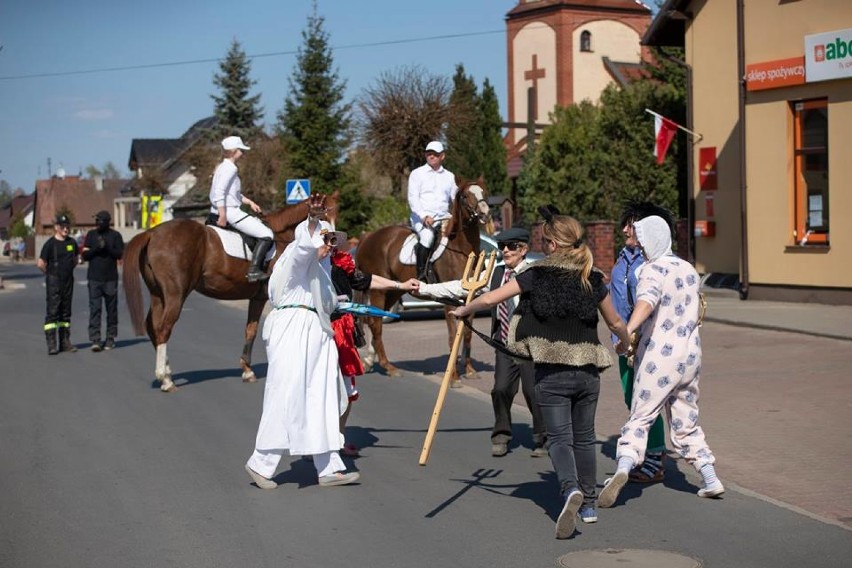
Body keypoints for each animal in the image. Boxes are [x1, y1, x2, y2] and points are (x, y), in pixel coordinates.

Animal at [122, 193, 340, 392]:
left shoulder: (257, 297)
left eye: (336, 211)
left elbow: (250, 329)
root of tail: (152, 233)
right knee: (164, 328)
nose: (333, 241)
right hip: (176, 295)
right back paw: (166, 380)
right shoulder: (263, 297)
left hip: (158, 294)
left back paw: (166, 373)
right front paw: (249, 370)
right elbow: (252, 330)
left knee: (153, 326)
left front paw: (247, 369)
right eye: (322, 212)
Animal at [354, 176, 490, 382]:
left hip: (393, 291)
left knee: (374, 320)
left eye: (484, 192)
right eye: (466, 196)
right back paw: (389, 367)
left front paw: (469, 370)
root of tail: (367, 236)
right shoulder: (449, 301)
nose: (485, 213)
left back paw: (370, 361)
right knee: (376, 325)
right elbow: (453, 335)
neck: (462, 251)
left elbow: (466, 333)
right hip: (379, 291)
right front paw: (454, 377)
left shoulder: (470, 297)